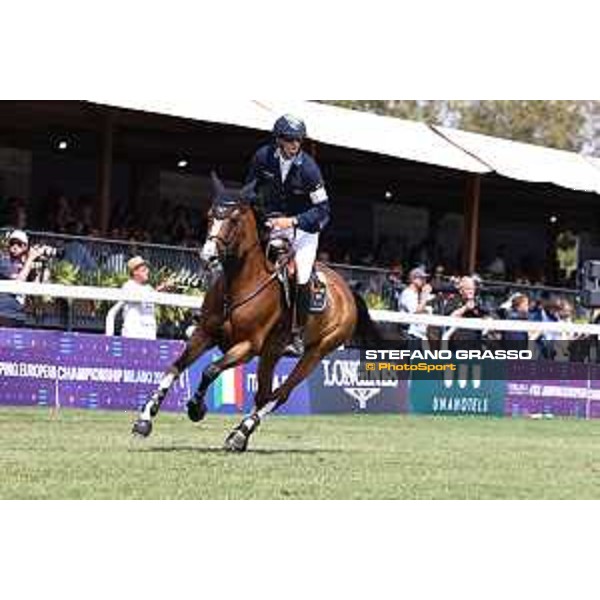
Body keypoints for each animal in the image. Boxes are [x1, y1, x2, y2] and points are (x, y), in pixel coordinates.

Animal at [132, 173, 380, 450]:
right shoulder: (204, 334)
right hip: (272, 353)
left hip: (316, 353)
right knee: (263, 394)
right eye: (210, 215)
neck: (239, 284)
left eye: (234, 219)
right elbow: (175, 367)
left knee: (280, 394)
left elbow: (210, 370)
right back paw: (240, 434)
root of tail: (348, 292)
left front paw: (196, 408)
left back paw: (240, 434)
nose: (208, 257)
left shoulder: (247, 346)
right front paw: (145, 419)